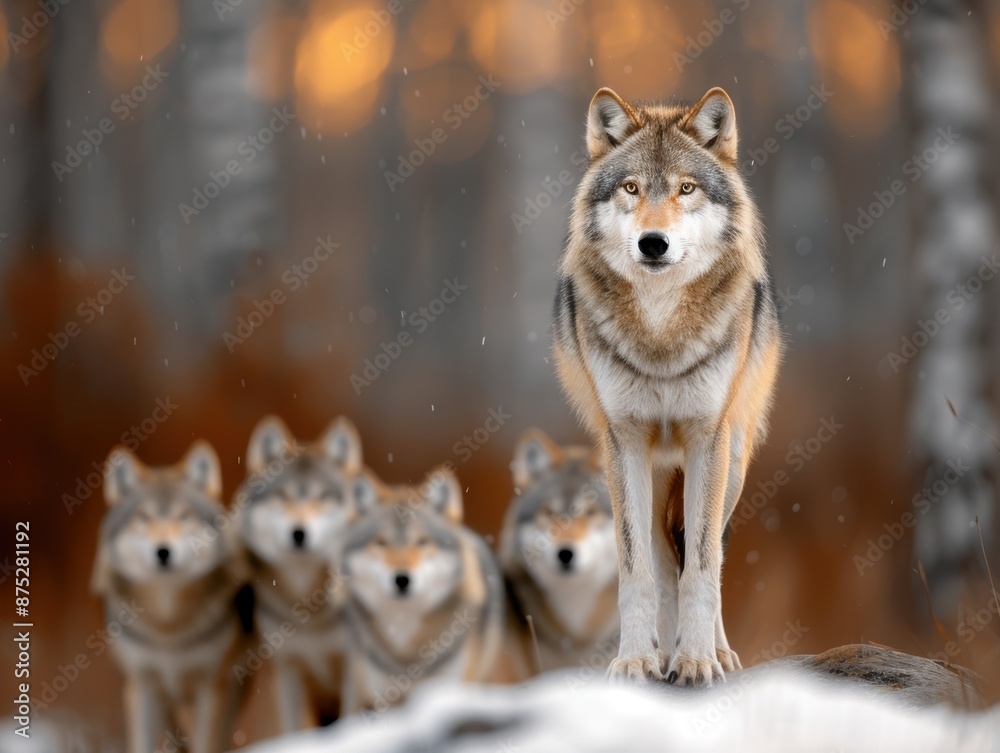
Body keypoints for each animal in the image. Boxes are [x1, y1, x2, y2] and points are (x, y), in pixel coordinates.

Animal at [91, 442, 249, 753]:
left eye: (183, 516)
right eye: (143, 518)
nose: (163, 551)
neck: (169, 627)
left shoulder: (213, 686)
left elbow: (207, 743)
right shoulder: (141, 686)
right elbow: (141, 743)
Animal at [235, 415, 363, 731]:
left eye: (324, 498)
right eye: (282, 497)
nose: (299, 533)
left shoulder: (353, 668)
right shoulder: (288, 670)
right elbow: (291, 729)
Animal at [552, 87, 782, 685]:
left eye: (686, 188)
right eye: (632, 188)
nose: (652, 244)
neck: (660, 333)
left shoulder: (708, 440)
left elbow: (701, 567)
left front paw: (698, 661)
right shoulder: (624, 443)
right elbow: (637, 573)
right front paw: (636, 659)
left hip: (732, 465)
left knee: (706, 552)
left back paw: (715, 654)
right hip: (649, 477)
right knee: (660, 560)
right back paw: (661, 653)